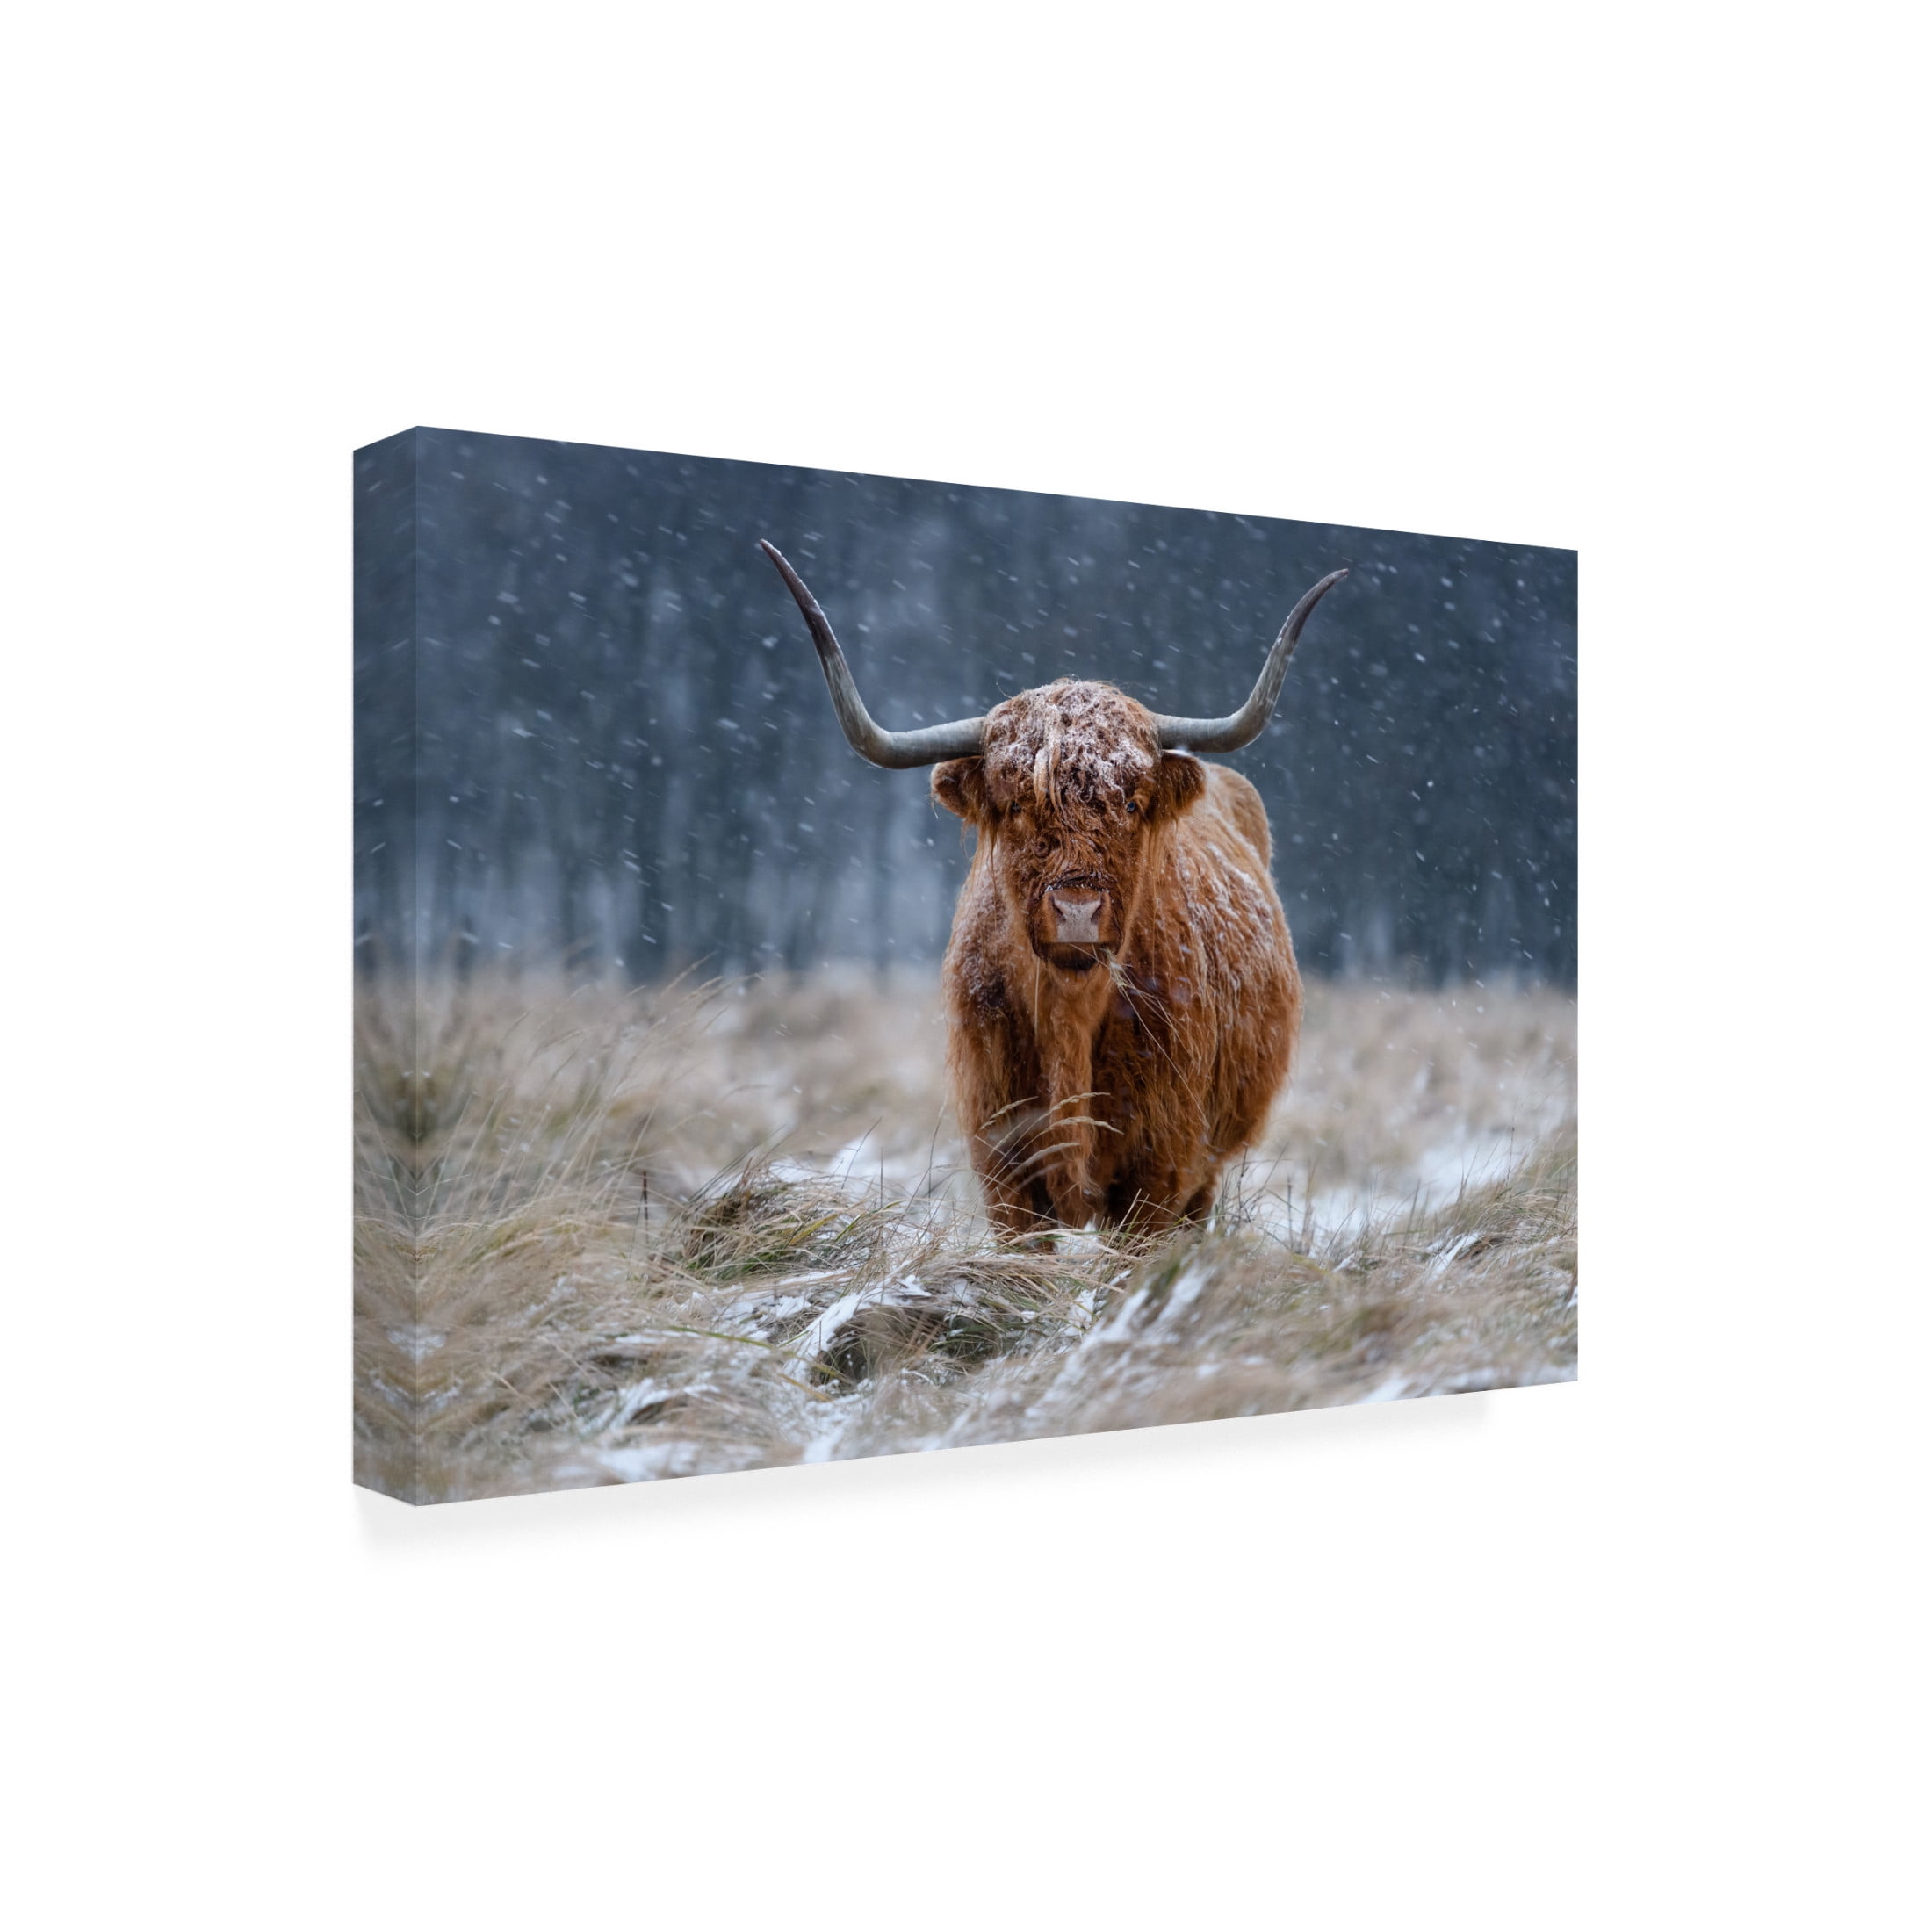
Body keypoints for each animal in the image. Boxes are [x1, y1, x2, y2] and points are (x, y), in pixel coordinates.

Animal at [760, 538, 1346, 1239]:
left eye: (1131, 803)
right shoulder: (1005, 1169)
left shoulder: (1161, 1170)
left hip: (1207, 1166)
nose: (1077, 910)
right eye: (1017, 805)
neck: (1070, 1013)